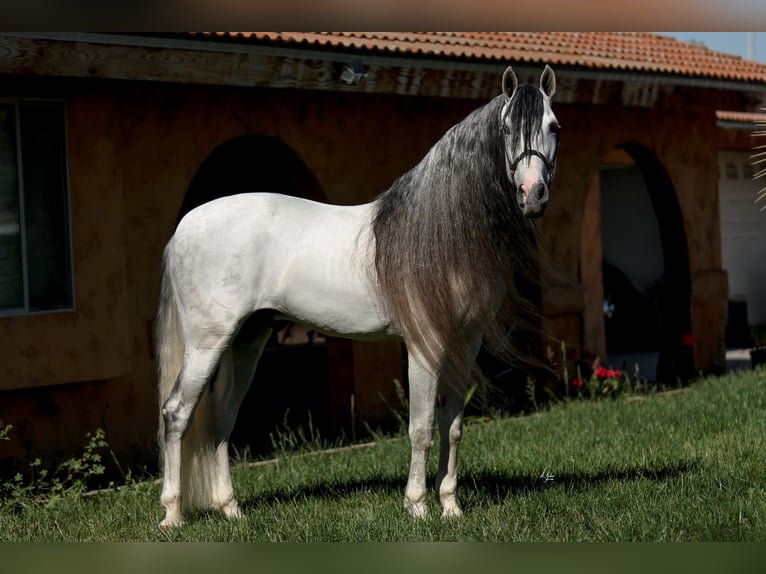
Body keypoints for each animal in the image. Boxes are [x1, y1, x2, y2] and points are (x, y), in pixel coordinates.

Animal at [156, 65, 560, 527]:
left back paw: (231, 509)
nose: (533, 195)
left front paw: (451, 507)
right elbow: (421, 427)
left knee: (223, 418)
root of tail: (185, 226)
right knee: (176, 413)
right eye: (507, 127)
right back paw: (173, 515)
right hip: (207, 344)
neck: (441, 234)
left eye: (554, 126)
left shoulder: (466, 343)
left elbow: (452, 427)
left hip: (247, 339)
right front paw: (417, 506)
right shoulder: (424, 346)